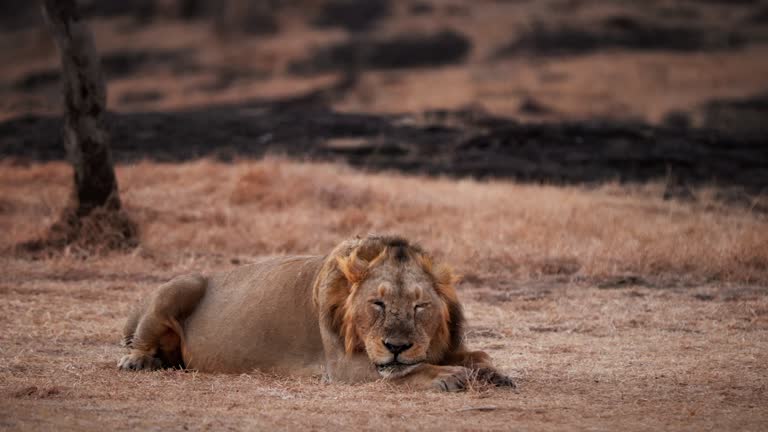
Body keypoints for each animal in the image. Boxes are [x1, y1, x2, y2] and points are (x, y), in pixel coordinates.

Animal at [118, 236, 516, 392]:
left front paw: (494, 375)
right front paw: (449, 376)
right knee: (140, 337)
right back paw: (137, 360)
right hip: (182, 283)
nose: (397, 347)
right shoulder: (343, 368)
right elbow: (409, 372)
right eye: (377, 304)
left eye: (420, 307)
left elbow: (480, 355)